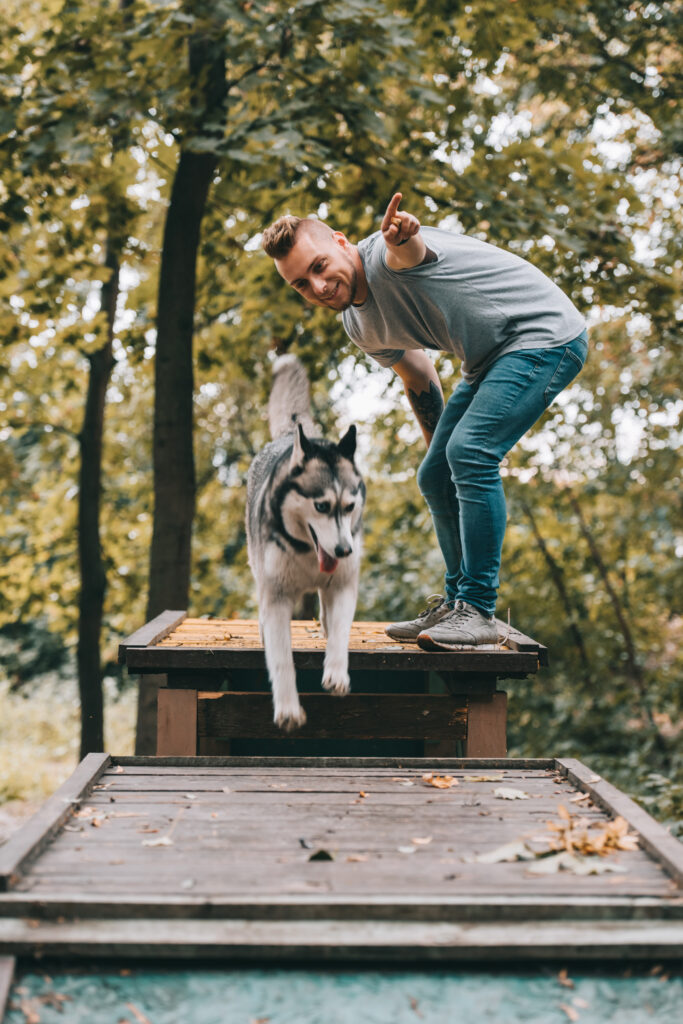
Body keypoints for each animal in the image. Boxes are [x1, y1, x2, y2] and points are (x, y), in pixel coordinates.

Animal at [244, 356, 362, 733]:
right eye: (321, 506)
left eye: (349, 506)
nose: (344, 551)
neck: (310, 554)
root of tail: (287, 436)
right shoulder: (278, 597)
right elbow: (281, 658)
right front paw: (288, 709)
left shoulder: (344, 584)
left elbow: (339, 630)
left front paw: (337, 672)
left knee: (326, 613)